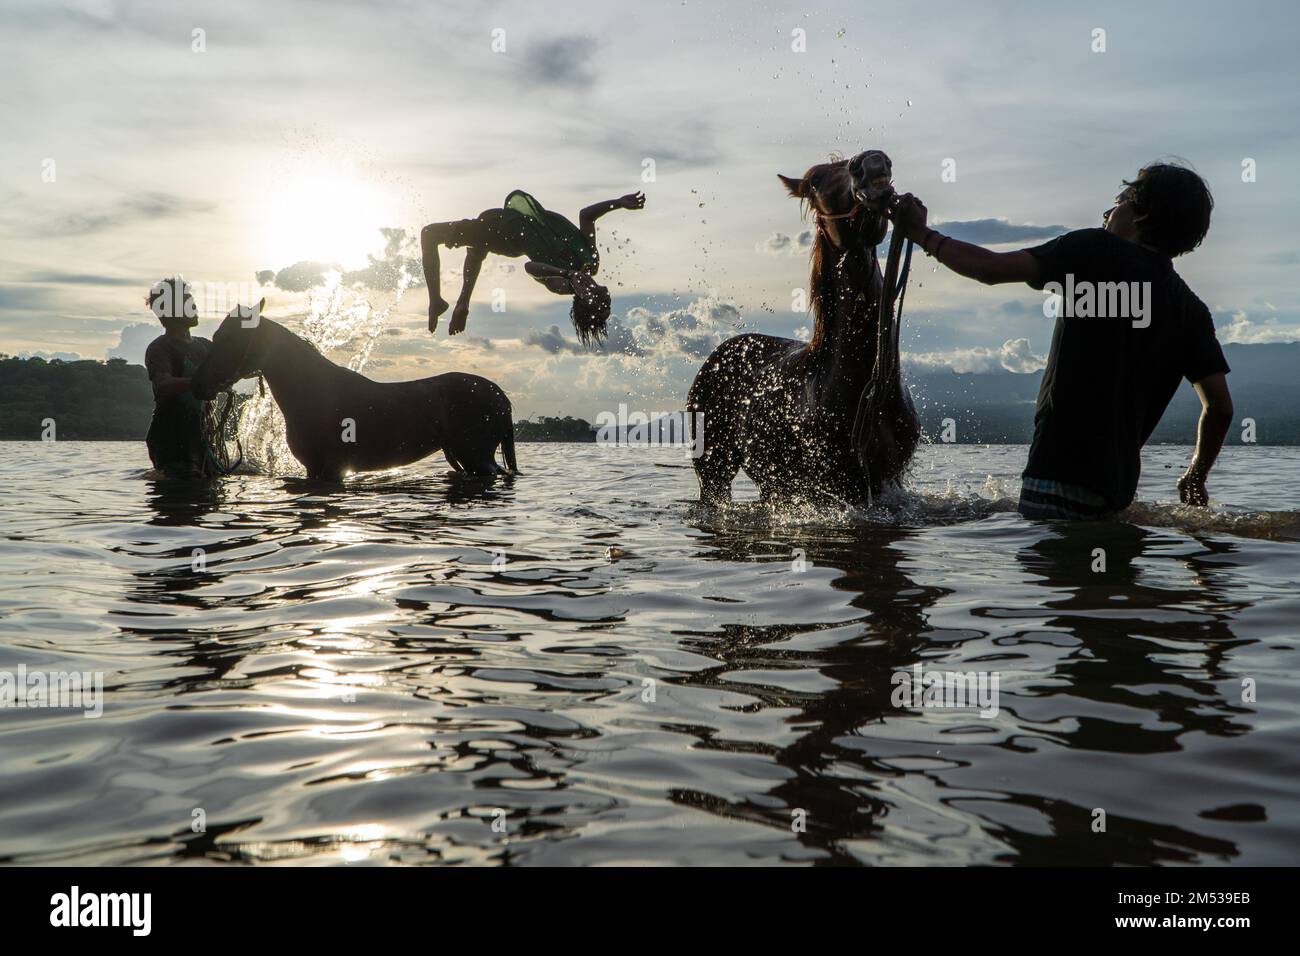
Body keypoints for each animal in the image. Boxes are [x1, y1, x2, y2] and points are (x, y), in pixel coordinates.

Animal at [189, 303, 514, 481]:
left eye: (228, 338)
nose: (197, 384)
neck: (312, 391)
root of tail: (500, 396)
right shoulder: (314, 469)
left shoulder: (332, 469)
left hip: (477, 459)